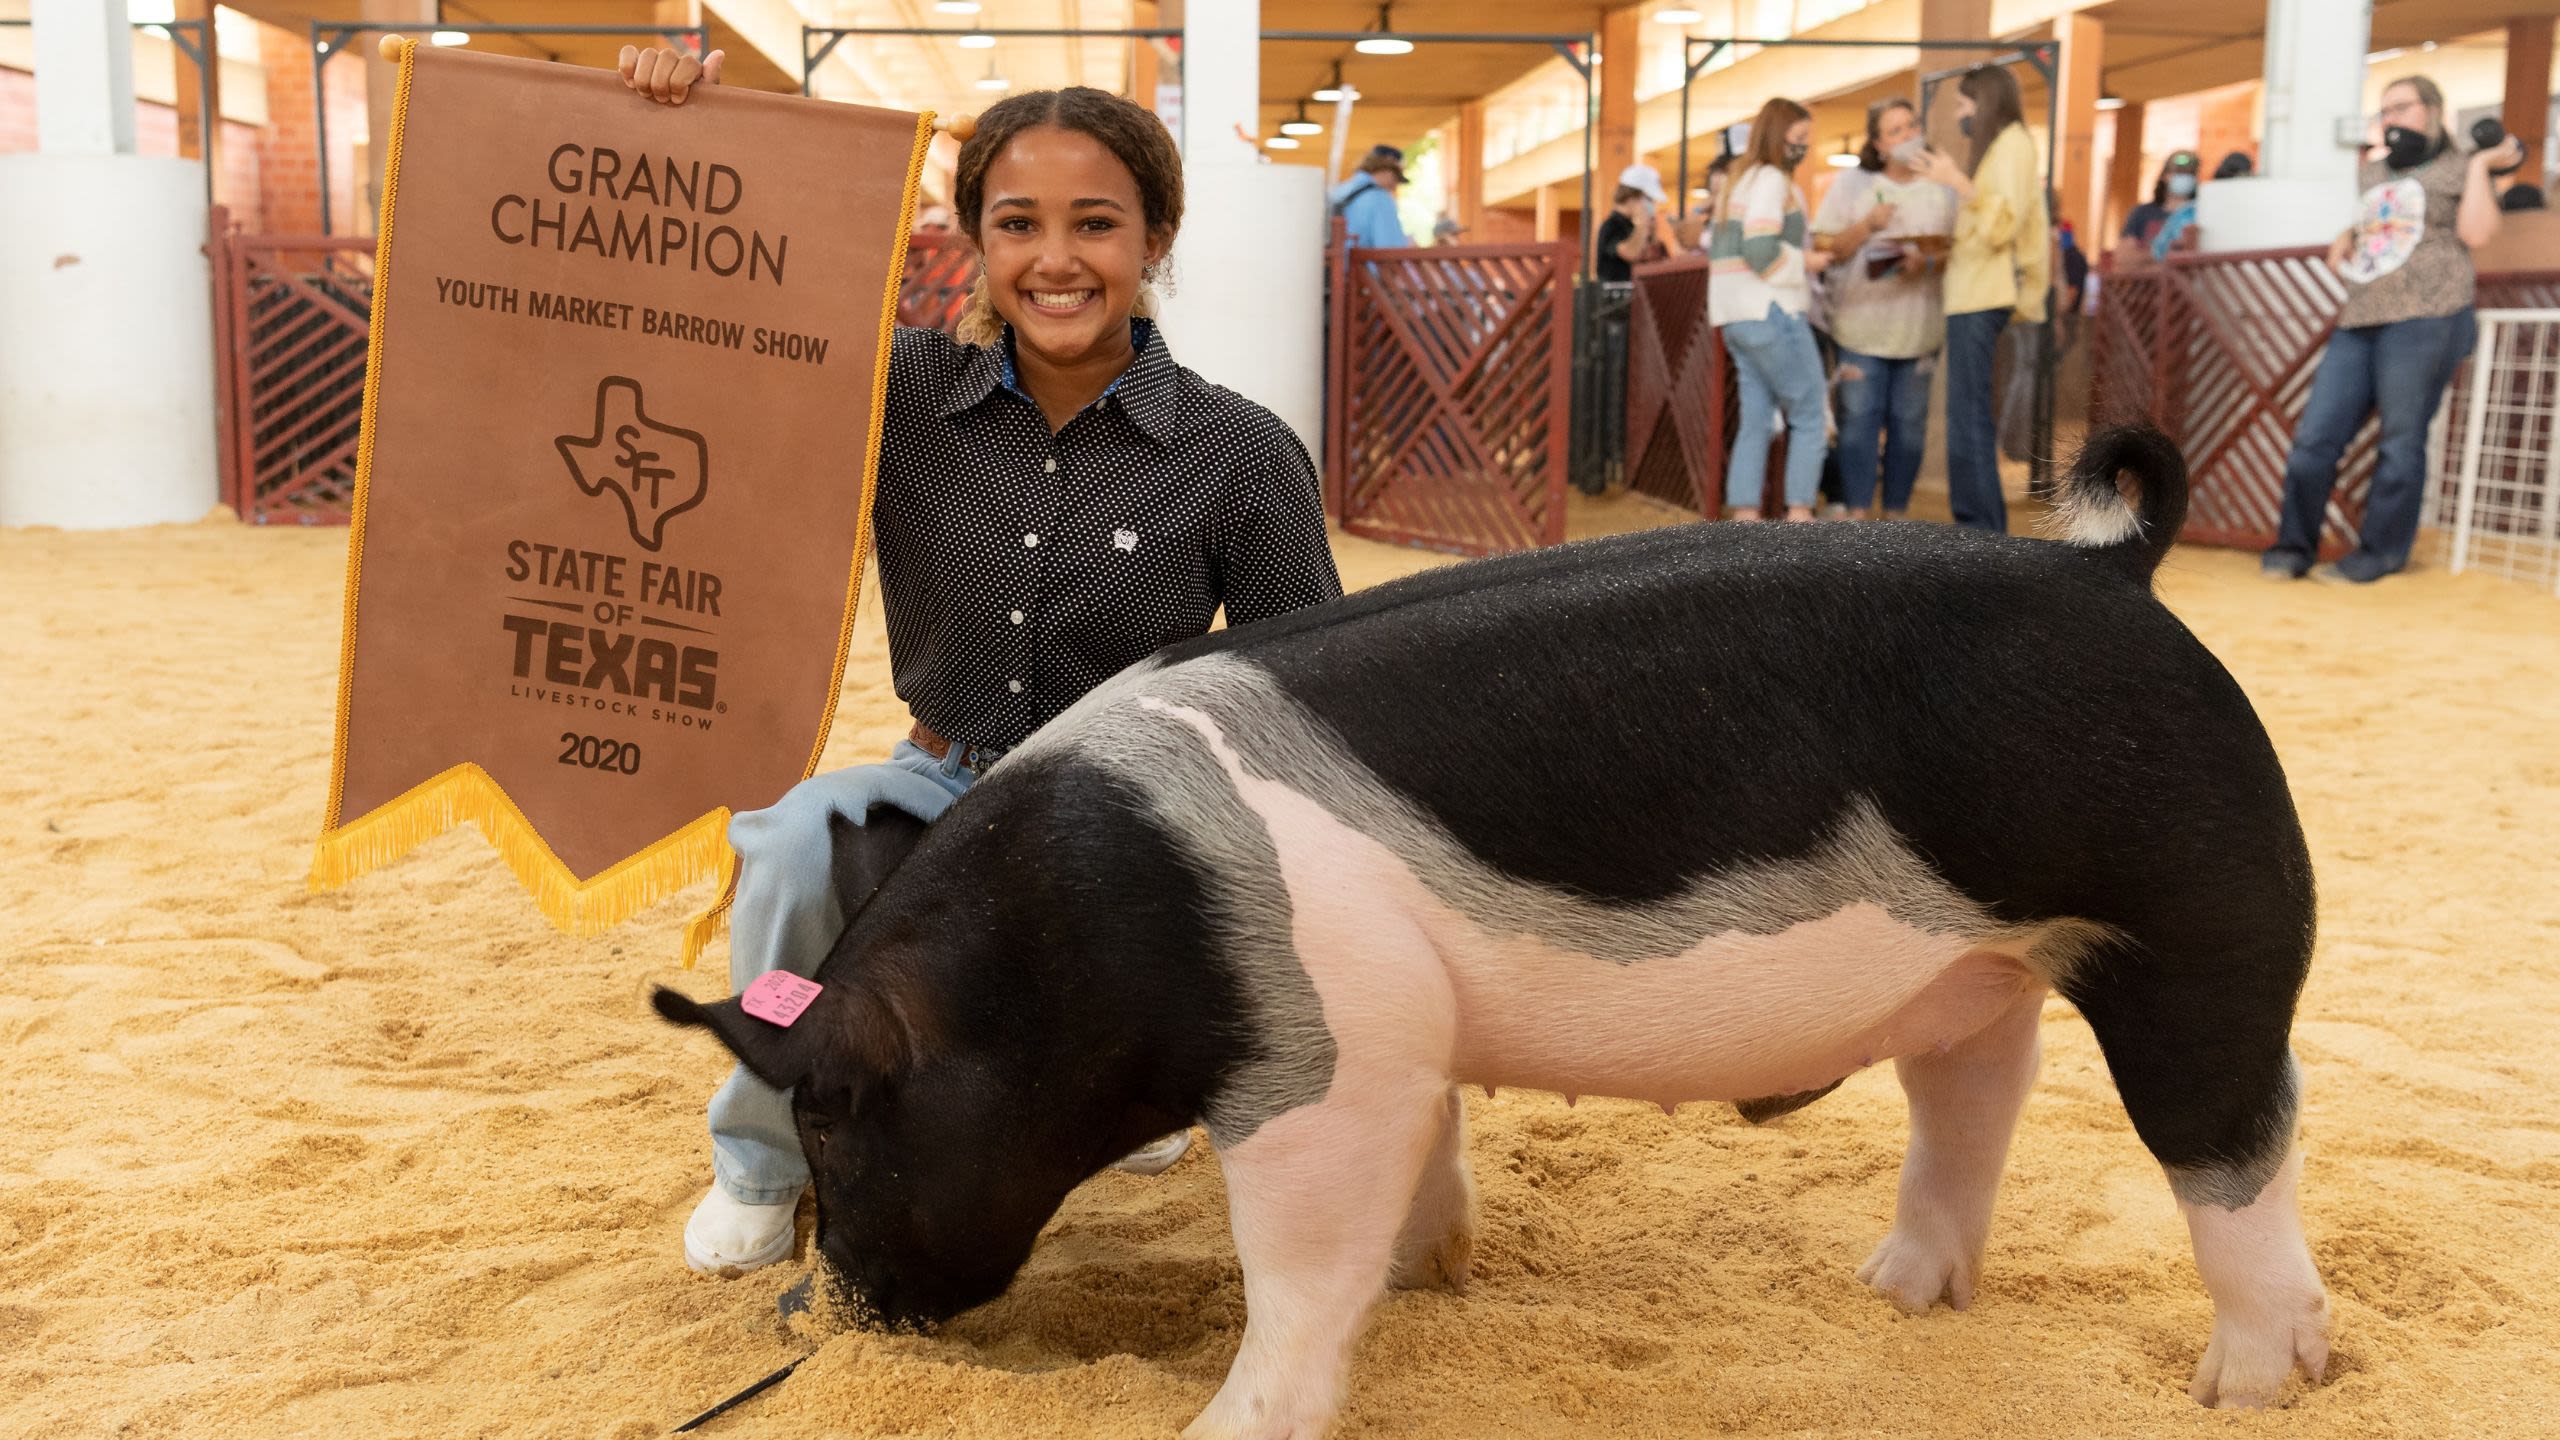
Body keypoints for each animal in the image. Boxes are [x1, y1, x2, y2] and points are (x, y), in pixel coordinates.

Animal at [655, 425, 2330, 1439]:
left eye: (835, 1113)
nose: (852, 1308)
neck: (1065, 943)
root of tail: (2109, 566)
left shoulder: (1322, 1057)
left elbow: (1297, 1266)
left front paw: (1225, 1418)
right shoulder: (1405, 1035)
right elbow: (1422, 1168)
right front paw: (1429, 1274)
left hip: (2205, 923)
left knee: (2233, 1146)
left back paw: (2249, 1383)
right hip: (1984, 967)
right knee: (1974, 1098)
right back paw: (1896, 1293)